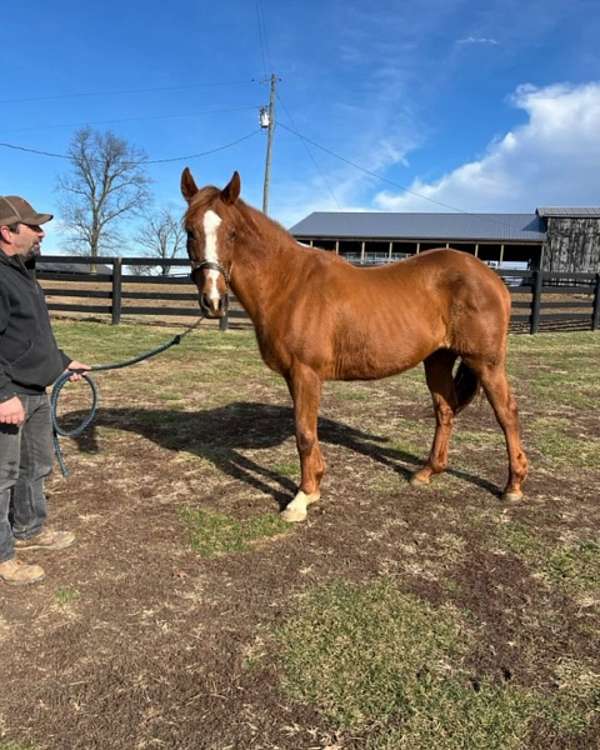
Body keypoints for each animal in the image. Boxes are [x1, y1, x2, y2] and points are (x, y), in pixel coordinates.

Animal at [181, 168, 528, 522]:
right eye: (190, 231)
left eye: (232, 233)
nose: (213, 301)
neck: (289, 284)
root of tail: (493, 278)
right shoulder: (295, 377)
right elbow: (306, 429)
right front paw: (314, 487)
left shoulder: (306, 373)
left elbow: (304, 433)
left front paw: (301, 498)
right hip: (439, 359)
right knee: (445, 410)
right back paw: (427, 472)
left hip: (485, 362)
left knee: (507, 413)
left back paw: (512, 486)